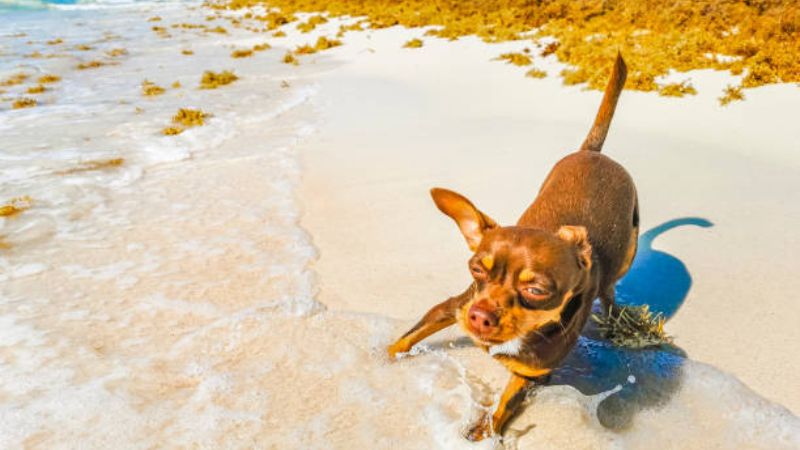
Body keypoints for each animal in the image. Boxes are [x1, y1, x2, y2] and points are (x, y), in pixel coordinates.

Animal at [388, 54, 636, 442]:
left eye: (536, 290)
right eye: (476, 268)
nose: (479, 315)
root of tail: (595, 153)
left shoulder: (531, 374)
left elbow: (504, 404)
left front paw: (485, 429)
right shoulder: (452, 307)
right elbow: (407, 338)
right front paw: (378, 359)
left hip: (629, 247)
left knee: (612, 284)